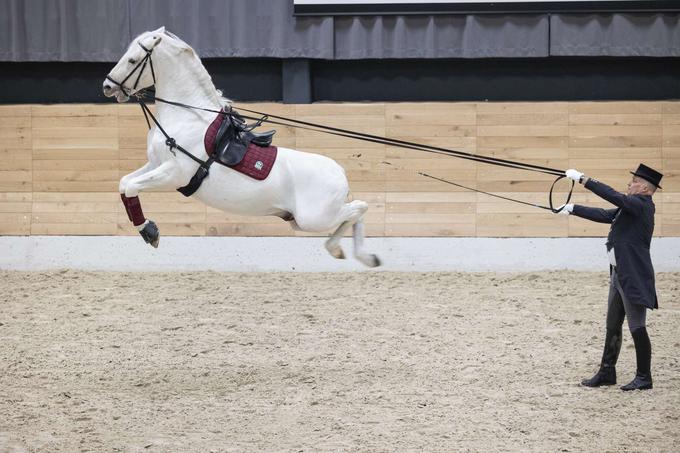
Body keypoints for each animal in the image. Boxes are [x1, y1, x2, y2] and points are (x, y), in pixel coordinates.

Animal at [101, 27, 380, 264]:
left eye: (132, 60)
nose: (107, 86)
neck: (187, 117)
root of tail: (339, 172)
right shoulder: (155, 164)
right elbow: (125, 184)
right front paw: (147, 229)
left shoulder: (174, 174)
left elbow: (132, 186)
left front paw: (151, 233)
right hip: (301, 220)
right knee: (354, 213)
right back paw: (354, 254)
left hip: (315, 218)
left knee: (359, 208)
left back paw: (357, 254)